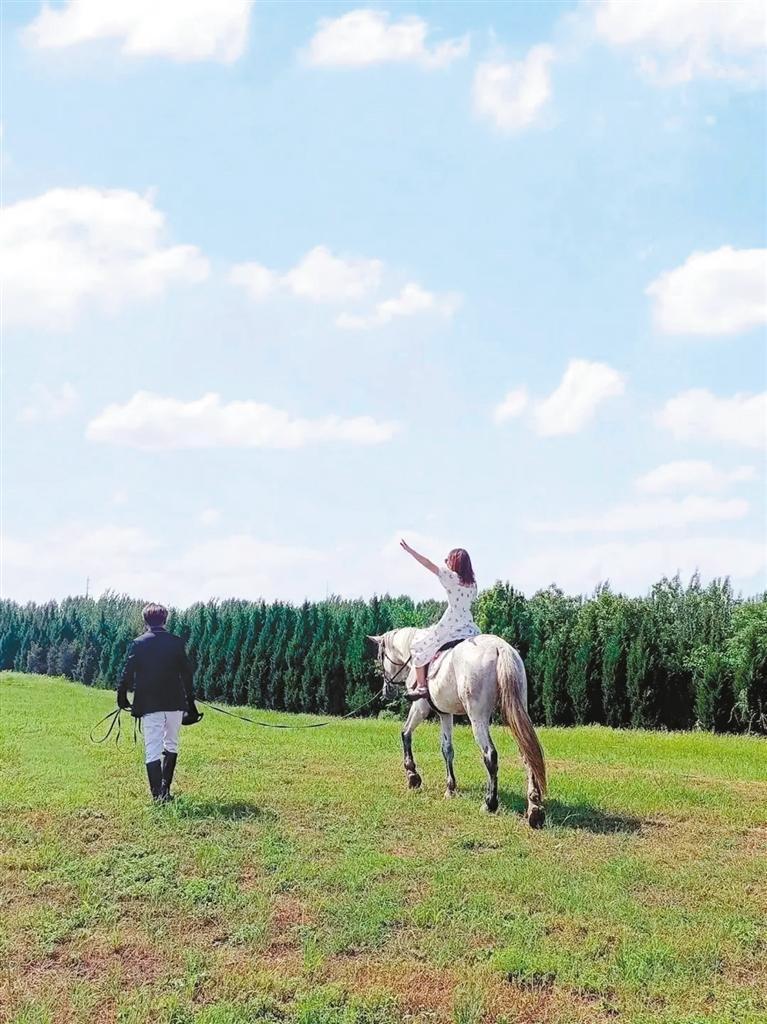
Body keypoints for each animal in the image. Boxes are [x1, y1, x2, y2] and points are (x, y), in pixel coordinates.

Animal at [368, 626, 544, 827]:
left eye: (380, 656)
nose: (386, 691)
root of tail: (499, 647)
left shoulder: (421, 707)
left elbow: (405, 733)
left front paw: (413, 776)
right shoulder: (445, 714)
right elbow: (447, 749)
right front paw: (450, 788)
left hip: (478, 717)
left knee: (490, 755)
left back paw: (490, 803)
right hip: (516, 712)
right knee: (527, 754)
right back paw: (534, 808)